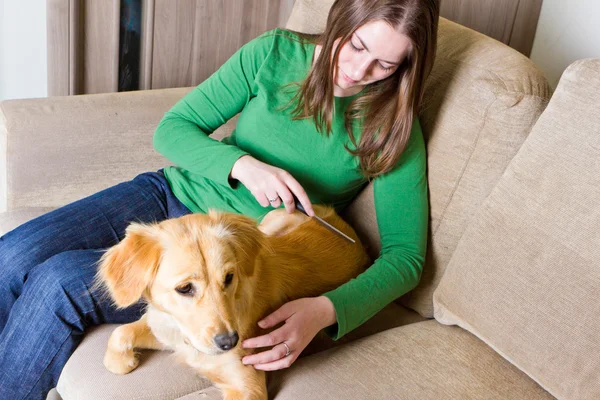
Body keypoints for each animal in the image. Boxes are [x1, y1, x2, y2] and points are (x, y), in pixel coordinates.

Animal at [95, 206, 368, 400]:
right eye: (184, 288)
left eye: (229, 277)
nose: (230, 343)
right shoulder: (167, 329)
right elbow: (121, 332)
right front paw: (120, 362)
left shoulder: (248, 386)